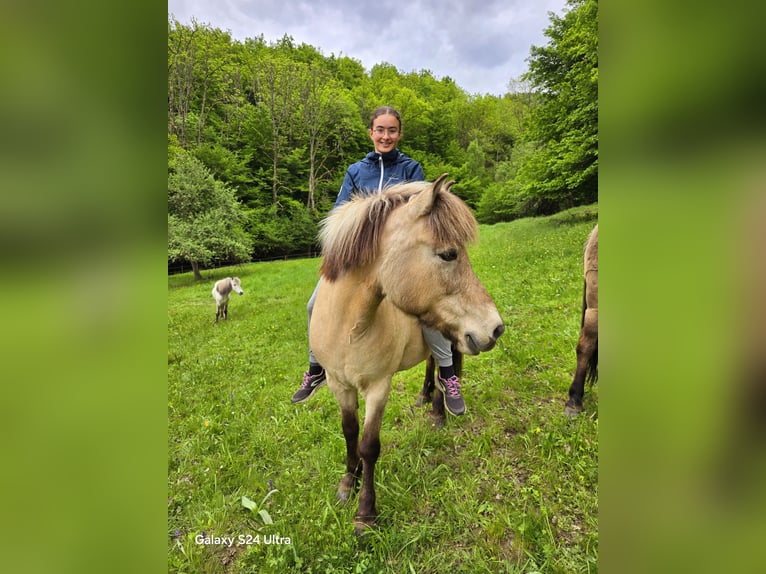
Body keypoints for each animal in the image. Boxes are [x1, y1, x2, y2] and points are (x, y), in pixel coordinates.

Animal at [309, 174, 505, 534]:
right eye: (448, 254)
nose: (495, 328)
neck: (350, 329)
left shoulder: (378, 388)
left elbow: (369, 445)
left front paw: (365, 514)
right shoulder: (339, 386)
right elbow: (349, 432)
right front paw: (348, 482)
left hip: (450, 335)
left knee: (446, 368)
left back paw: (440, 411)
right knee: (433, 362)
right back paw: (424, 397)